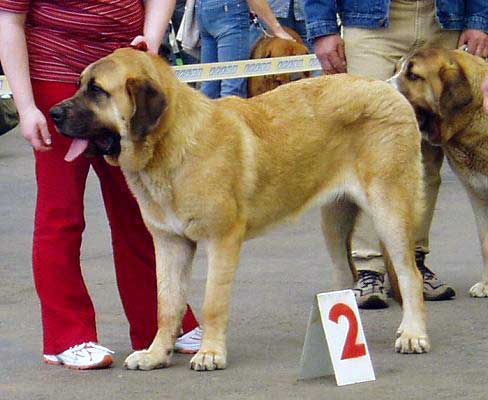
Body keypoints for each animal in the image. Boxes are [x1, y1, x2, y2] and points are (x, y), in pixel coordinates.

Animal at [51, 48, 428, 370]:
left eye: (97, 90)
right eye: (80, 85)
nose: (53, 113)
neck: (170, 145)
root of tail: (386, 89)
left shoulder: (222, 240)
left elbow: (212, 302)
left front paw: (210, 354)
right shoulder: (170, 243)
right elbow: (167, 304)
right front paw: (155, 355)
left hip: (389, 209)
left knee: (409, 273)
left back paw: (413, 333)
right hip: (334, 219)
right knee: (344, 272)